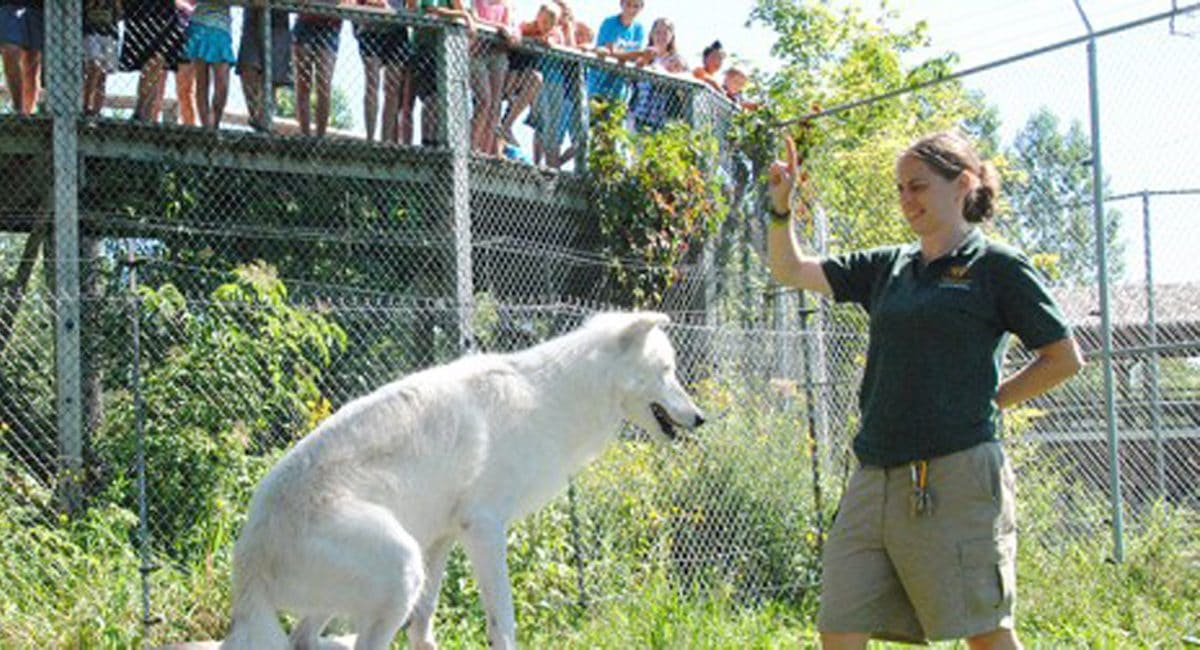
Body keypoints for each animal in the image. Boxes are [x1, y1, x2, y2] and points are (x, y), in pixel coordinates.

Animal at [220, 311, 700, 650]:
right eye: (667, 371)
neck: (551, 399)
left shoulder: (443, 538)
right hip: (402, 565)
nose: (700, 418)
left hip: (398, 565)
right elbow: (503, 624)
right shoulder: (485, 529)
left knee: (302, 640)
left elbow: (422, 627)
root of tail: (247, 562)